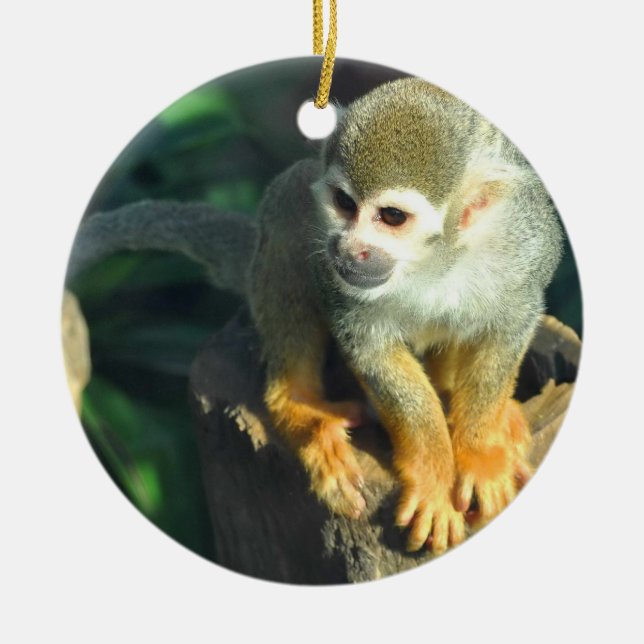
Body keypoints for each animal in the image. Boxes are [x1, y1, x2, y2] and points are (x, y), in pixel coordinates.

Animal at [68, 77, 562, 555]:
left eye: (391, 217)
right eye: (345, 203)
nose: (349, 248)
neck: (431, 262)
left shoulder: (525, 246)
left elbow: (509, 327)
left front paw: (480, 451)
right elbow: (370, 347)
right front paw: (433, 472)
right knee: (293, 200)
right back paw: (298, 406)